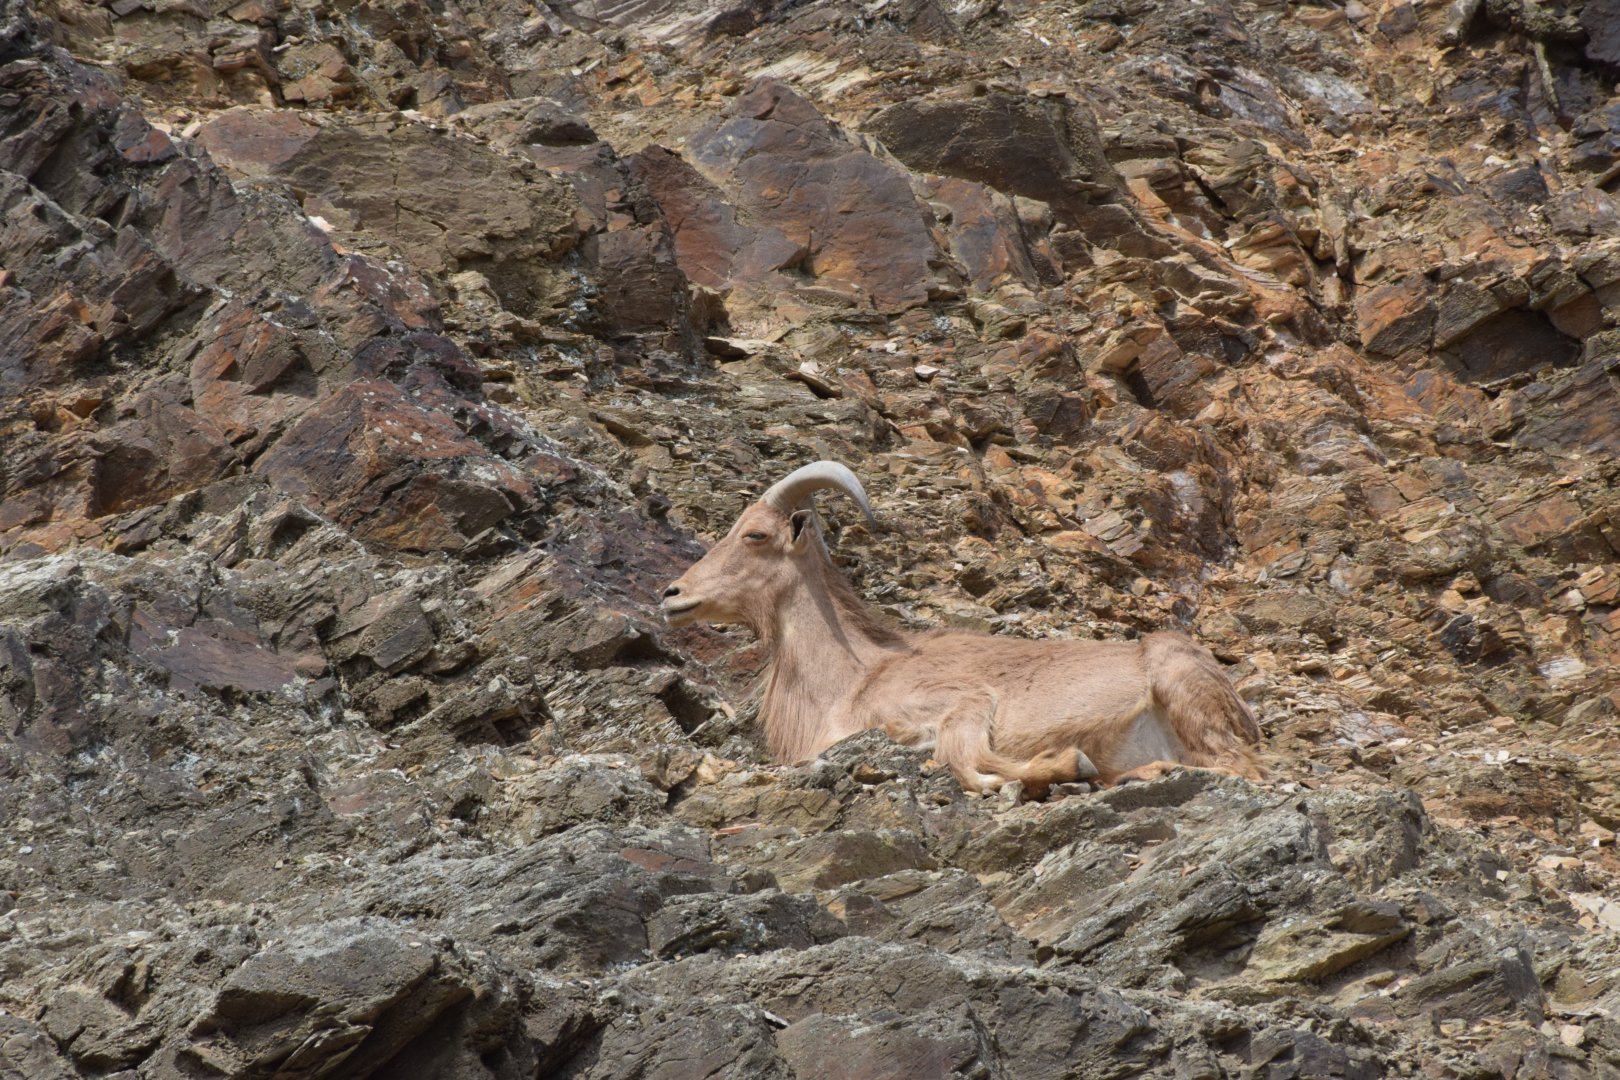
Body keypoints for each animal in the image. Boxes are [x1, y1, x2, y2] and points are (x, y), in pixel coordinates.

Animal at [661, 461, 1263, 797]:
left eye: (755, 535)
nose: (673, 596)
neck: (853, 677)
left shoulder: (963, 703)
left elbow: (971, 765)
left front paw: (1070, 764)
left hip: (1181, 690)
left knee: (1238, 768)